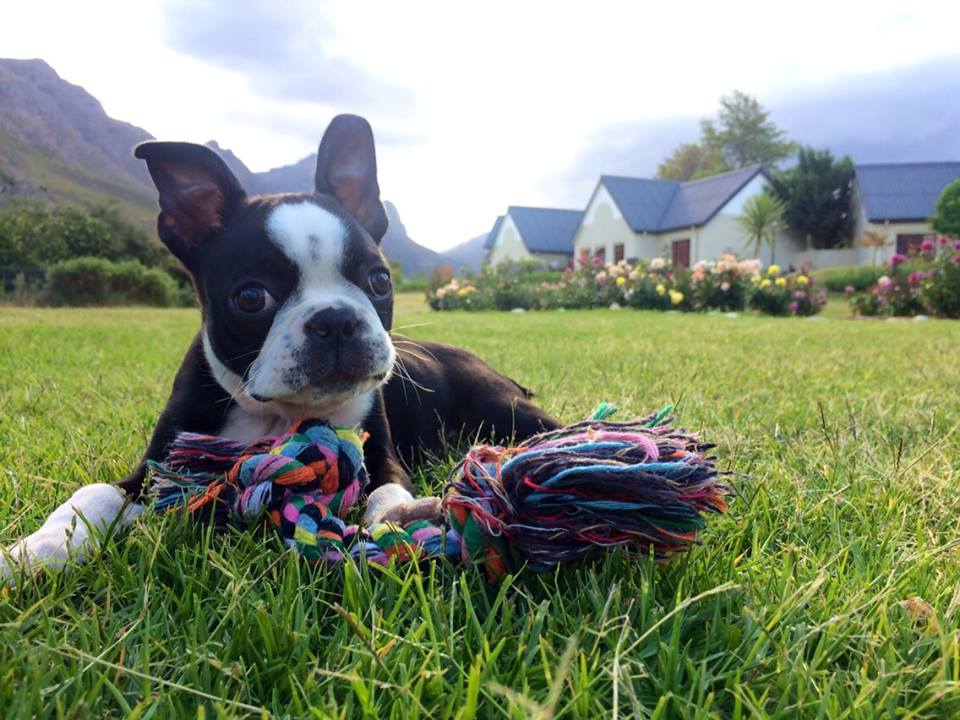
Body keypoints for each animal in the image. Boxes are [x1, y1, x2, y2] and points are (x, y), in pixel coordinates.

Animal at [1, 115, 556, 584]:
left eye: (379, 281)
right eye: (252, 298)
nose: (336, 319)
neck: (277, 414)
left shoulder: (382, 454)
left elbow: (387, 489)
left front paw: (399, 520)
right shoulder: (158, 466)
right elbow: (92, 493)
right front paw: (39, 548)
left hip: (507, 409)